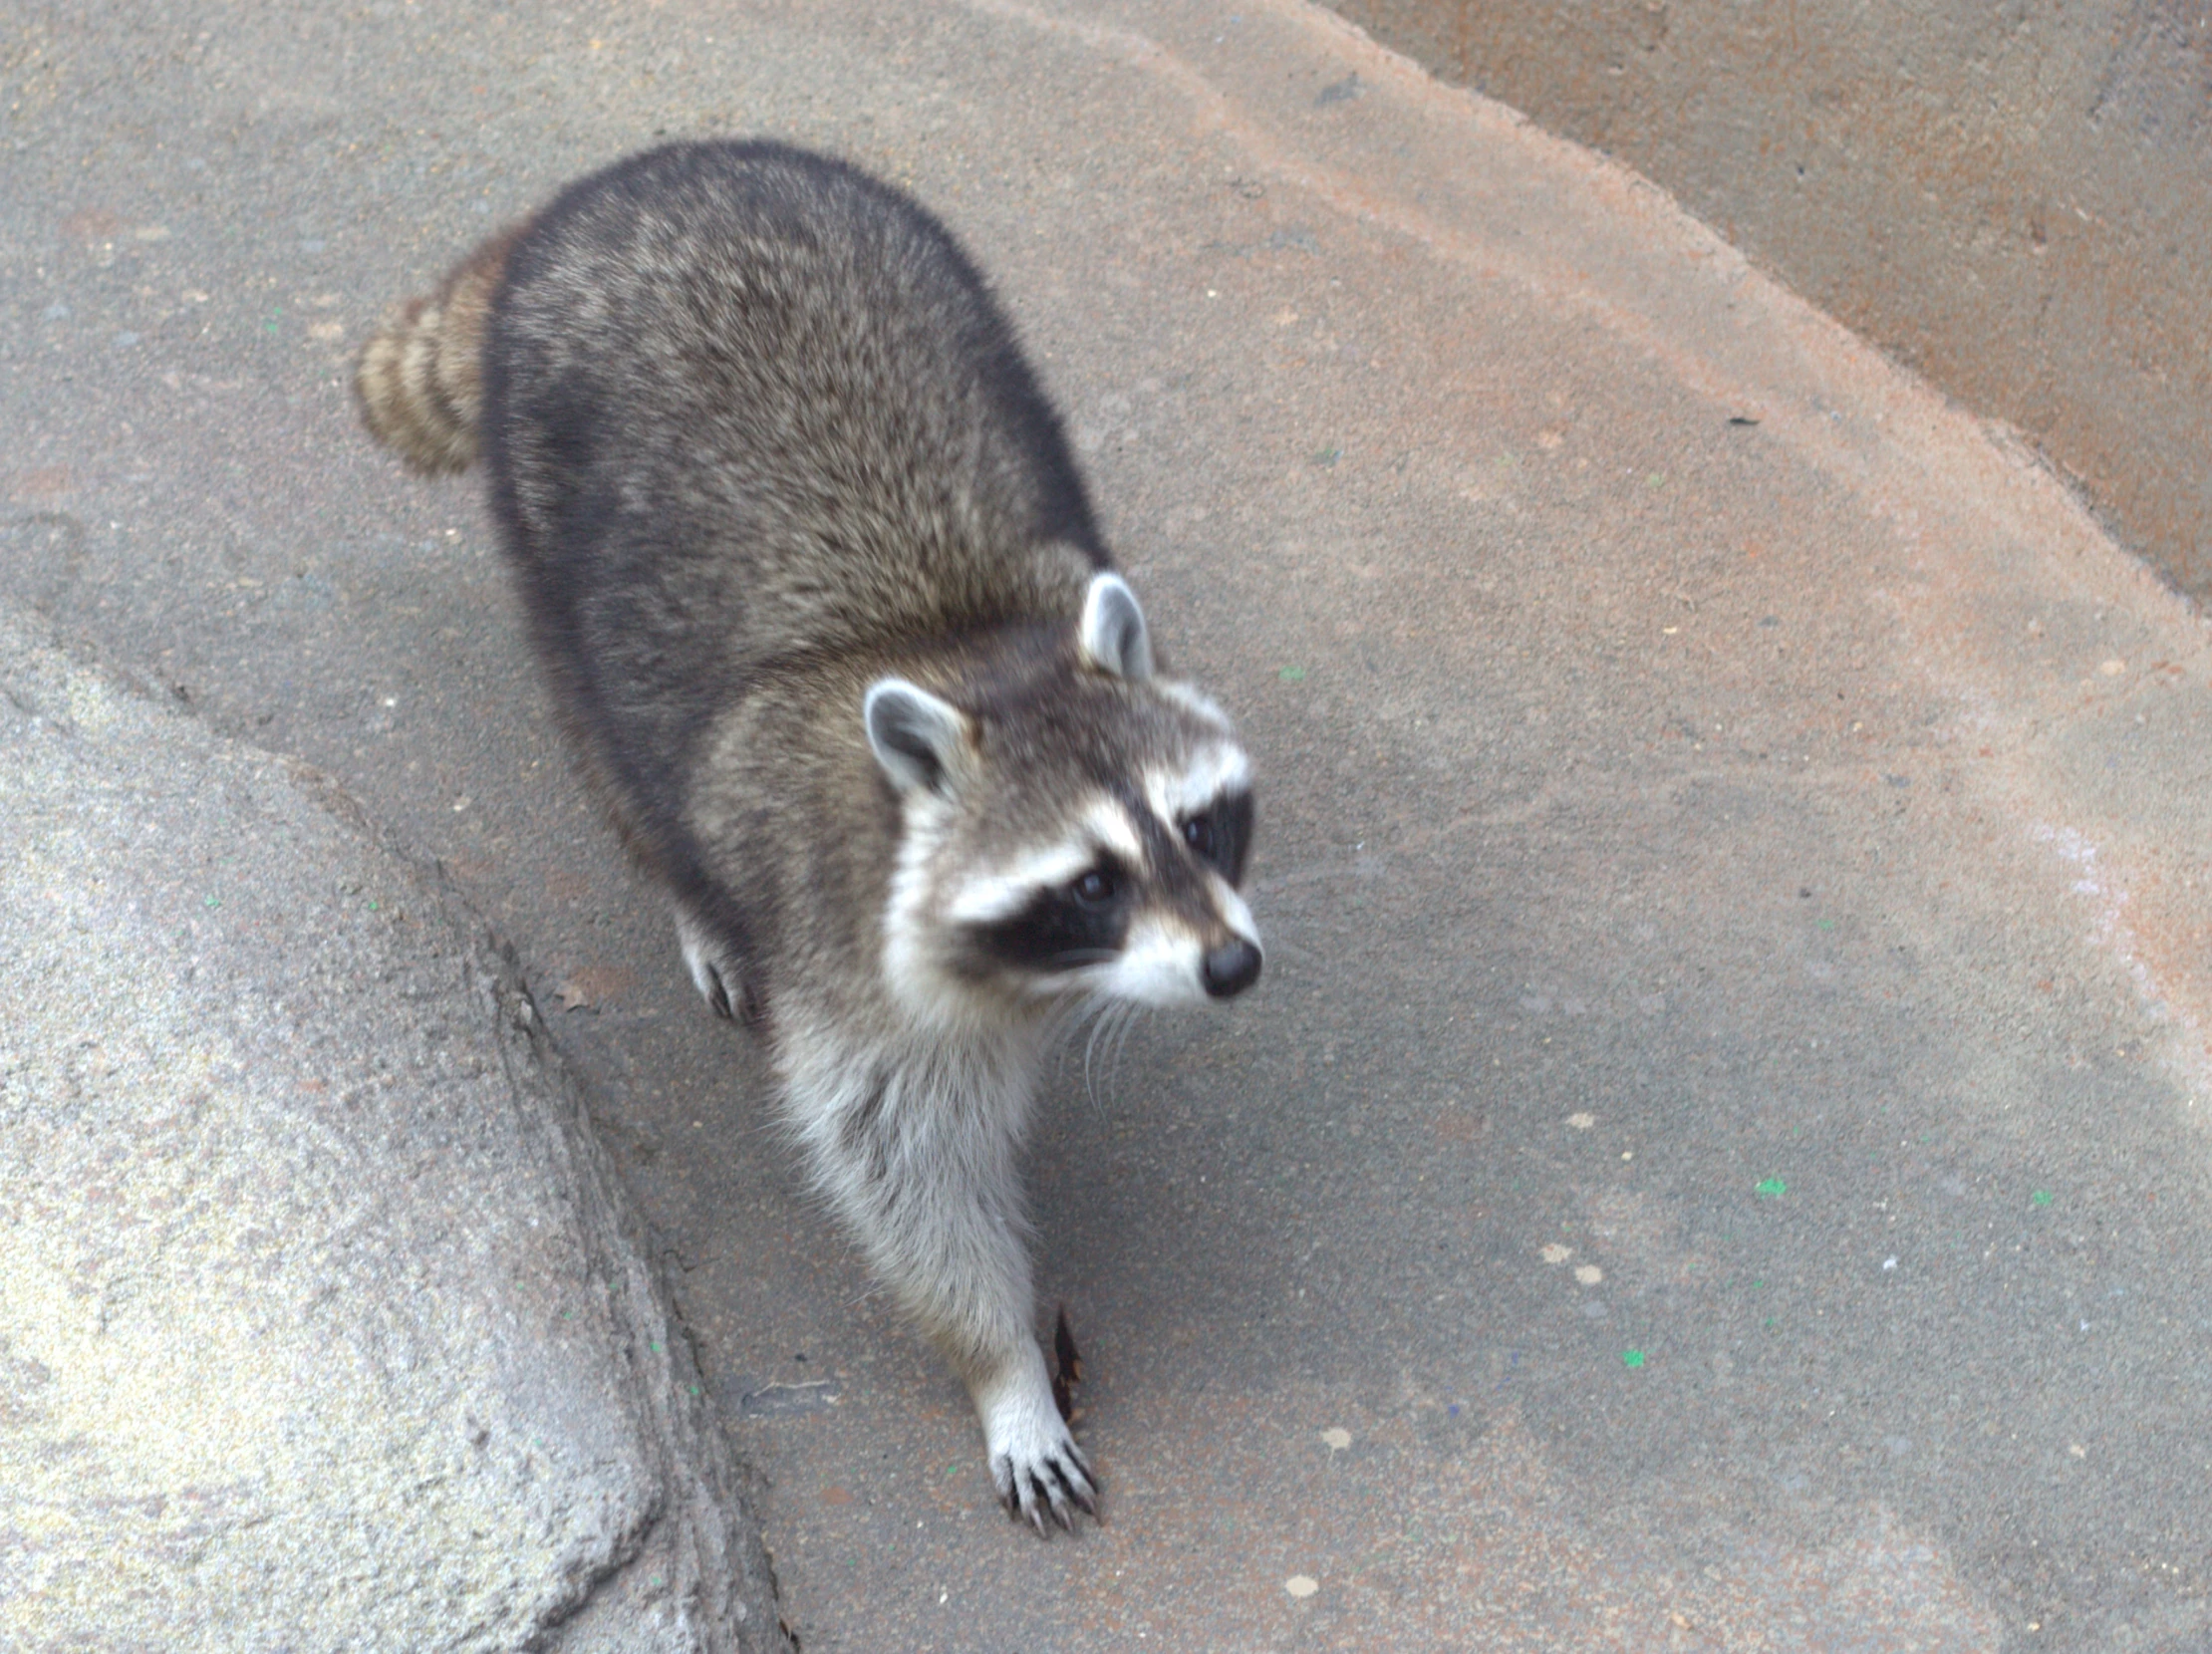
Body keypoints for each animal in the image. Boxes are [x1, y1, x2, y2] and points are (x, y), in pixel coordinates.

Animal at [360, 144, 1264, 1538]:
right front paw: (1004, 1366)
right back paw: (685, 891)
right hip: (545, 513)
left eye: (1201, 823)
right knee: (611, 746)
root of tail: (609, 186)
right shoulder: (839, 939)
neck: (966, 651)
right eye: (1090, 882)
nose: (1233, 966)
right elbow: (903, 1168)